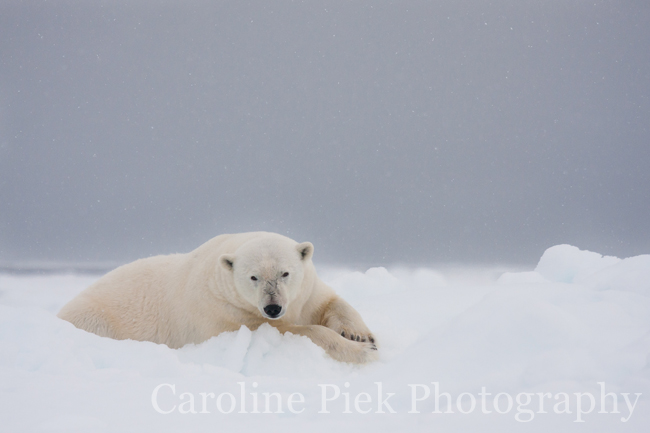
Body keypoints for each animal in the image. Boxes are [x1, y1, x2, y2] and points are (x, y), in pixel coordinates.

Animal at [59, 231, 380, 362]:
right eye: (253, 277)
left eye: (285, 273)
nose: (273, 307)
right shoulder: (227, 313)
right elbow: (291, 331)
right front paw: (362, 351)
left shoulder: (304, 291)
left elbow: (328, 301)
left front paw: (361, 336)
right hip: (96, 320)